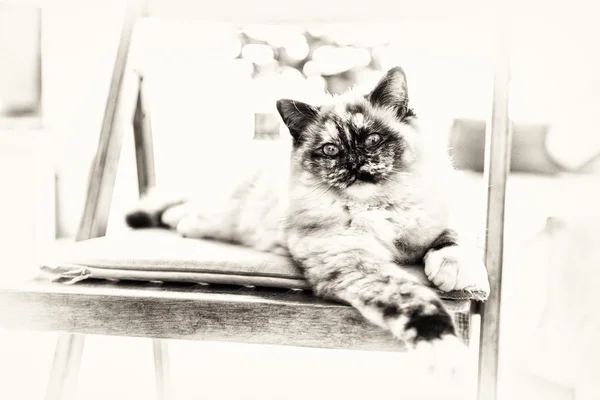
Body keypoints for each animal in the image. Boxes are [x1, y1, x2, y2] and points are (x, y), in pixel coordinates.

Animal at [125, 66, 488, 376]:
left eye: (371, 140)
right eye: (330, 150)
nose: (353, 163)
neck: (376, 206)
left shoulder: (434, 220)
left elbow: (452, 239)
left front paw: (452, 269)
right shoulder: (353, 258)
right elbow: (413, 300)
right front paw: (444, 351)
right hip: (214, 212)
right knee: (178, 212)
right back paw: (180, 223)